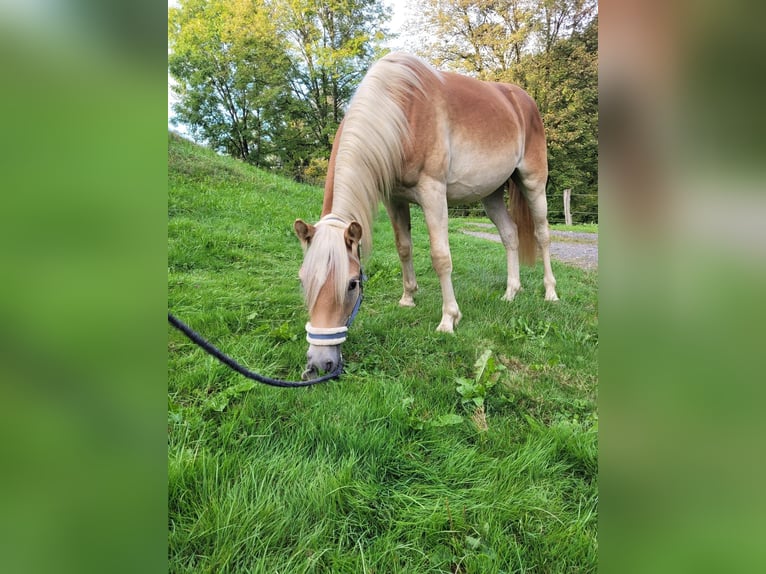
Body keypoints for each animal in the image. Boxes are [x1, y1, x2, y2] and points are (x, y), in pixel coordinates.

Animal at [294, 51, 560, 380]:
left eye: (353, 283)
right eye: (303, 280)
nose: (319, 364)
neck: (401, 111)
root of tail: (521, 99)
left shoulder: (433, 193)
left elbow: (440, 257)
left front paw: (449, 319)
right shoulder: (394, 199)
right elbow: (403, 248)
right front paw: (408, 298)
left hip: (534, 183)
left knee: (542, 235)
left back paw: (550, 293)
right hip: (492, 194)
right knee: (510, 235)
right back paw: (511, 292)